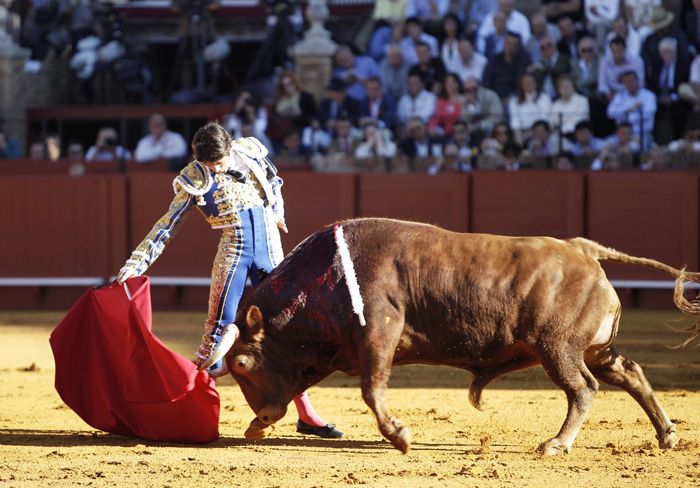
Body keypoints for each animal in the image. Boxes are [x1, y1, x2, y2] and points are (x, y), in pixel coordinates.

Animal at [224, 217, 700, 454]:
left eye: (242, 363)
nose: (264, 413)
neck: (329, 277)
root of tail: (583, 249)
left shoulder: (378, 333)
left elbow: (372, 390)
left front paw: (400, 437)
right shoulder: (332, 351)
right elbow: (306, 381)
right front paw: (254, 426)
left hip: (559, 348)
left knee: (582, 388)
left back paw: (557, 444)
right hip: (593, 349)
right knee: (630, 372)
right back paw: (667, 435)